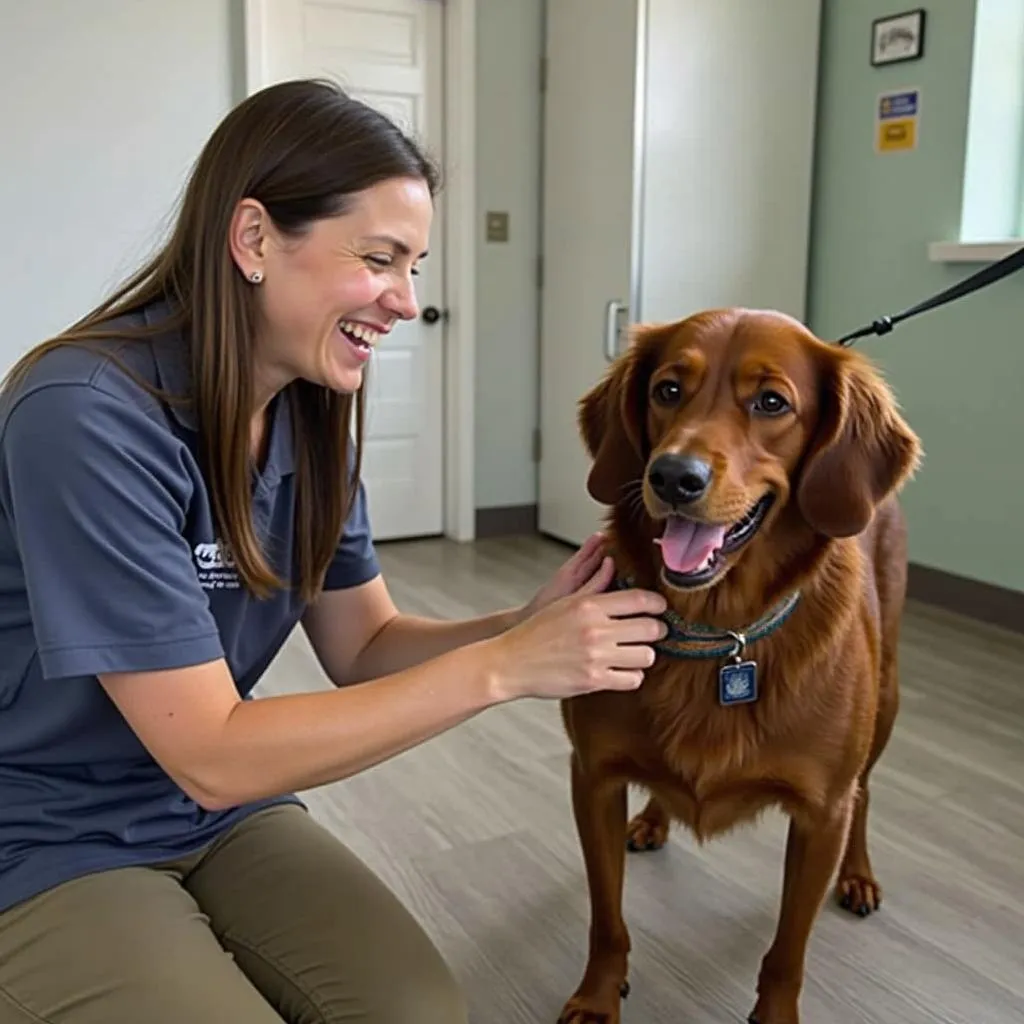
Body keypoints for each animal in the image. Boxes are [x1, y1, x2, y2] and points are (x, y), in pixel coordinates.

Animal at [557, 307, 925, 1019]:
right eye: (667, 390)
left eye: (771, 402)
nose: (673, 477)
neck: (716, 630)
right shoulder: (593, 779)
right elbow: (606, 918)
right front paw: (597, 995)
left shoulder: (821, 815)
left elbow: (787, 951)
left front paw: (775, 1012)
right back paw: (654, 818)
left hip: (888, 699)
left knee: (867, 792)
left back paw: (859, 875)